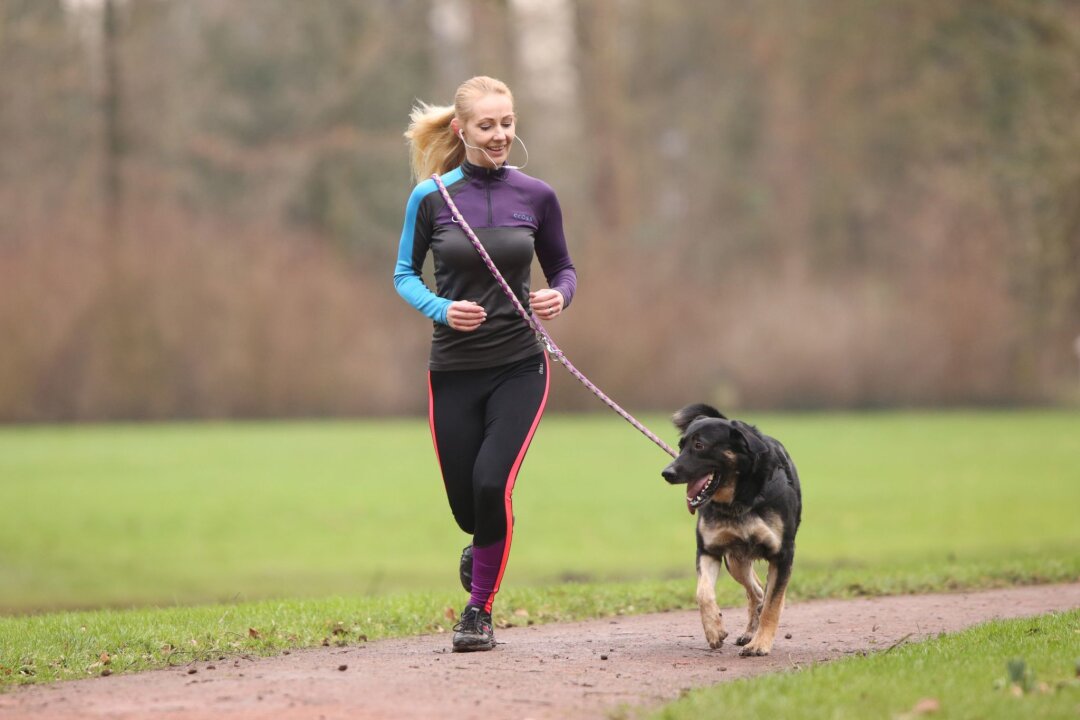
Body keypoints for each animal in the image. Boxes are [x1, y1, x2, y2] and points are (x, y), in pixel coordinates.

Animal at [656, 403, 803, 656]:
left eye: (699, 445)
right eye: (681, 446)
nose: (667, 473)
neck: (738, 500)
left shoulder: (783, 555)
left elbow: (773, 605)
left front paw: (761, 644)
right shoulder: (709, 550)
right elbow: (703, 593)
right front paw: (714, 630)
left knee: (766, 596)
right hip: (735, 561)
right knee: (756, 592)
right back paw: (748, 633)